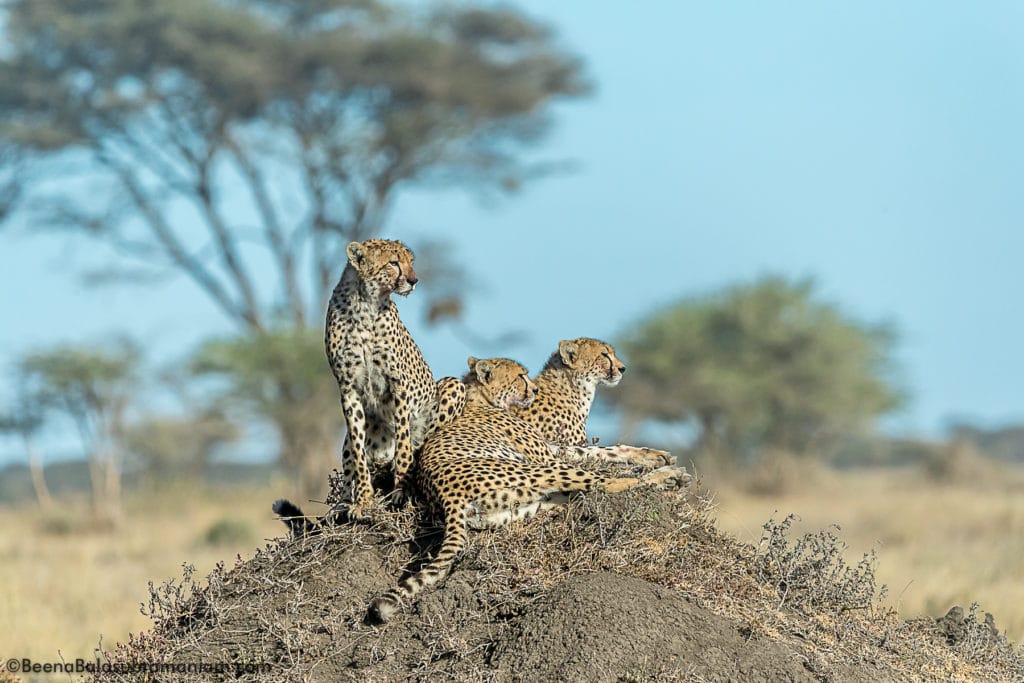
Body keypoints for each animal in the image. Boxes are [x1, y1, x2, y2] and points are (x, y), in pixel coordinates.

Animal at [325, 239, 466, 518]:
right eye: (393, 263)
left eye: (411, 261)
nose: (414, 280)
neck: (365, 305)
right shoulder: (348, 389)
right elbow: (358, 453)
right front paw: (363, 502)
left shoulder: (398, 385)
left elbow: (403, 442)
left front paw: (401, 491)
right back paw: (342, 505)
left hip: (453, 386)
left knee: (416, 446)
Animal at [368, 358, 688, 626]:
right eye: (520, 376)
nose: (534, 388)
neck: (480, 400)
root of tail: (445, 498)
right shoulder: (547, 457)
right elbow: (598, 463)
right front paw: (657, 466)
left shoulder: (554, 450)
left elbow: (601, 451)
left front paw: (653, 455)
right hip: (534, 470)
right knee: (606, 484)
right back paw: (668, 480)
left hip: (522, 505)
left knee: (575, 496)